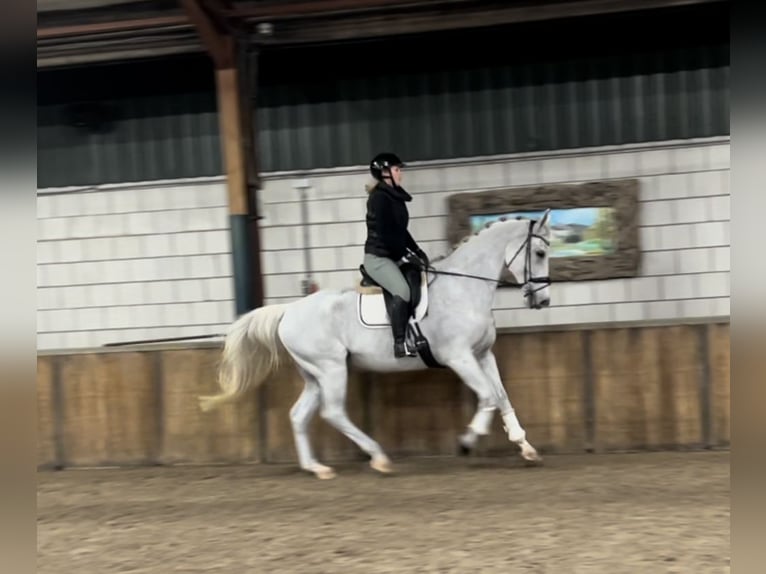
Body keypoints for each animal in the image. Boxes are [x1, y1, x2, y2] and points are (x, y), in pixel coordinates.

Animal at [201, 212, 556, 482]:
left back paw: (318, 468)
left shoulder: (483, 355)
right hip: (331, 369)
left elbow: (501, 396)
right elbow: (487, 397)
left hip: (314, 374)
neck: (464, 288)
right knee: (333, 412)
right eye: (539, 253)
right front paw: (467, 442)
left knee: (299, 415)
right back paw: (378, 457)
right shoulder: (459, 357)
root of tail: (289, 310)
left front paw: (526, 448)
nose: (542, 301)